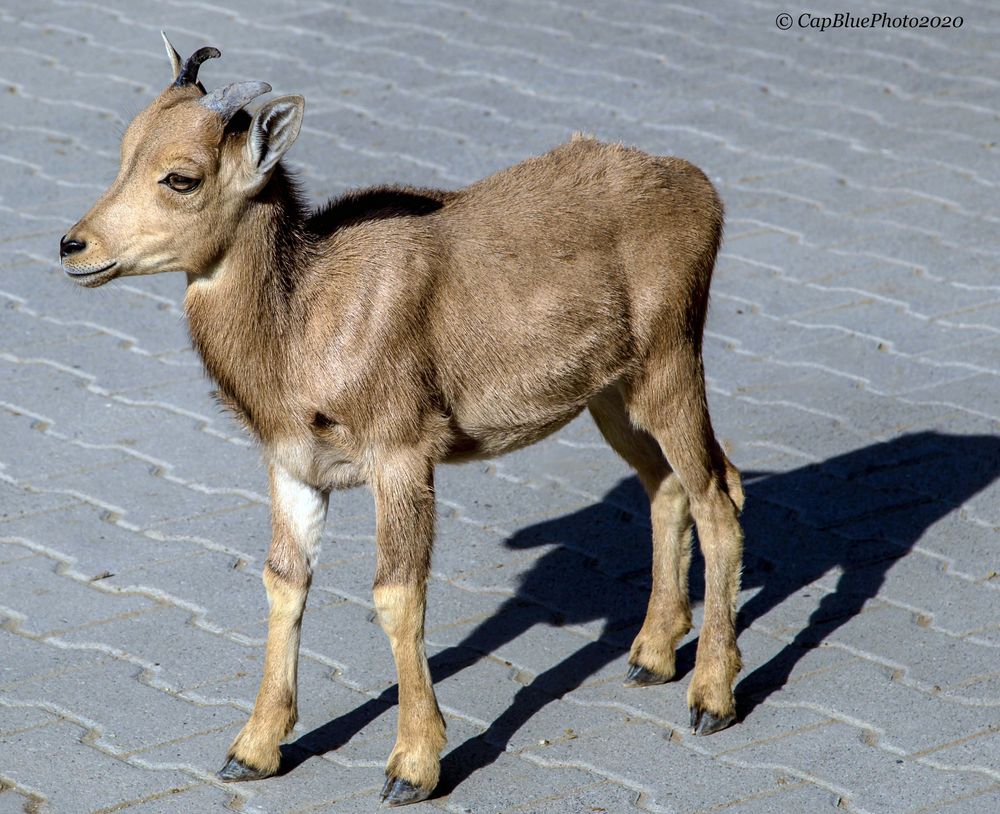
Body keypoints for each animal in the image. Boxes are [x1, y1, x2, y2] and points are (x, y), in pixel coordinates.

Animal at [60, 36, 744, 804]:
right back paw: (651, 655)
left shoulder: (401, 451)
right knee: (671, 487)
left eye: (181, 177)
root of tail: (702, 192)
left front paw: (411, 766)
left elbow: (395, 593)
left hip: (670, 364)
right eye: (125, 150)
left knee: (718, 495)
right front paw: (253, 750)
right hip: (612, 396)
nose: (74, 247)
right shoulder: (294, 466)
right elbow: (283, 581)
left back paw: (712, 697)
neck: (304, 324)